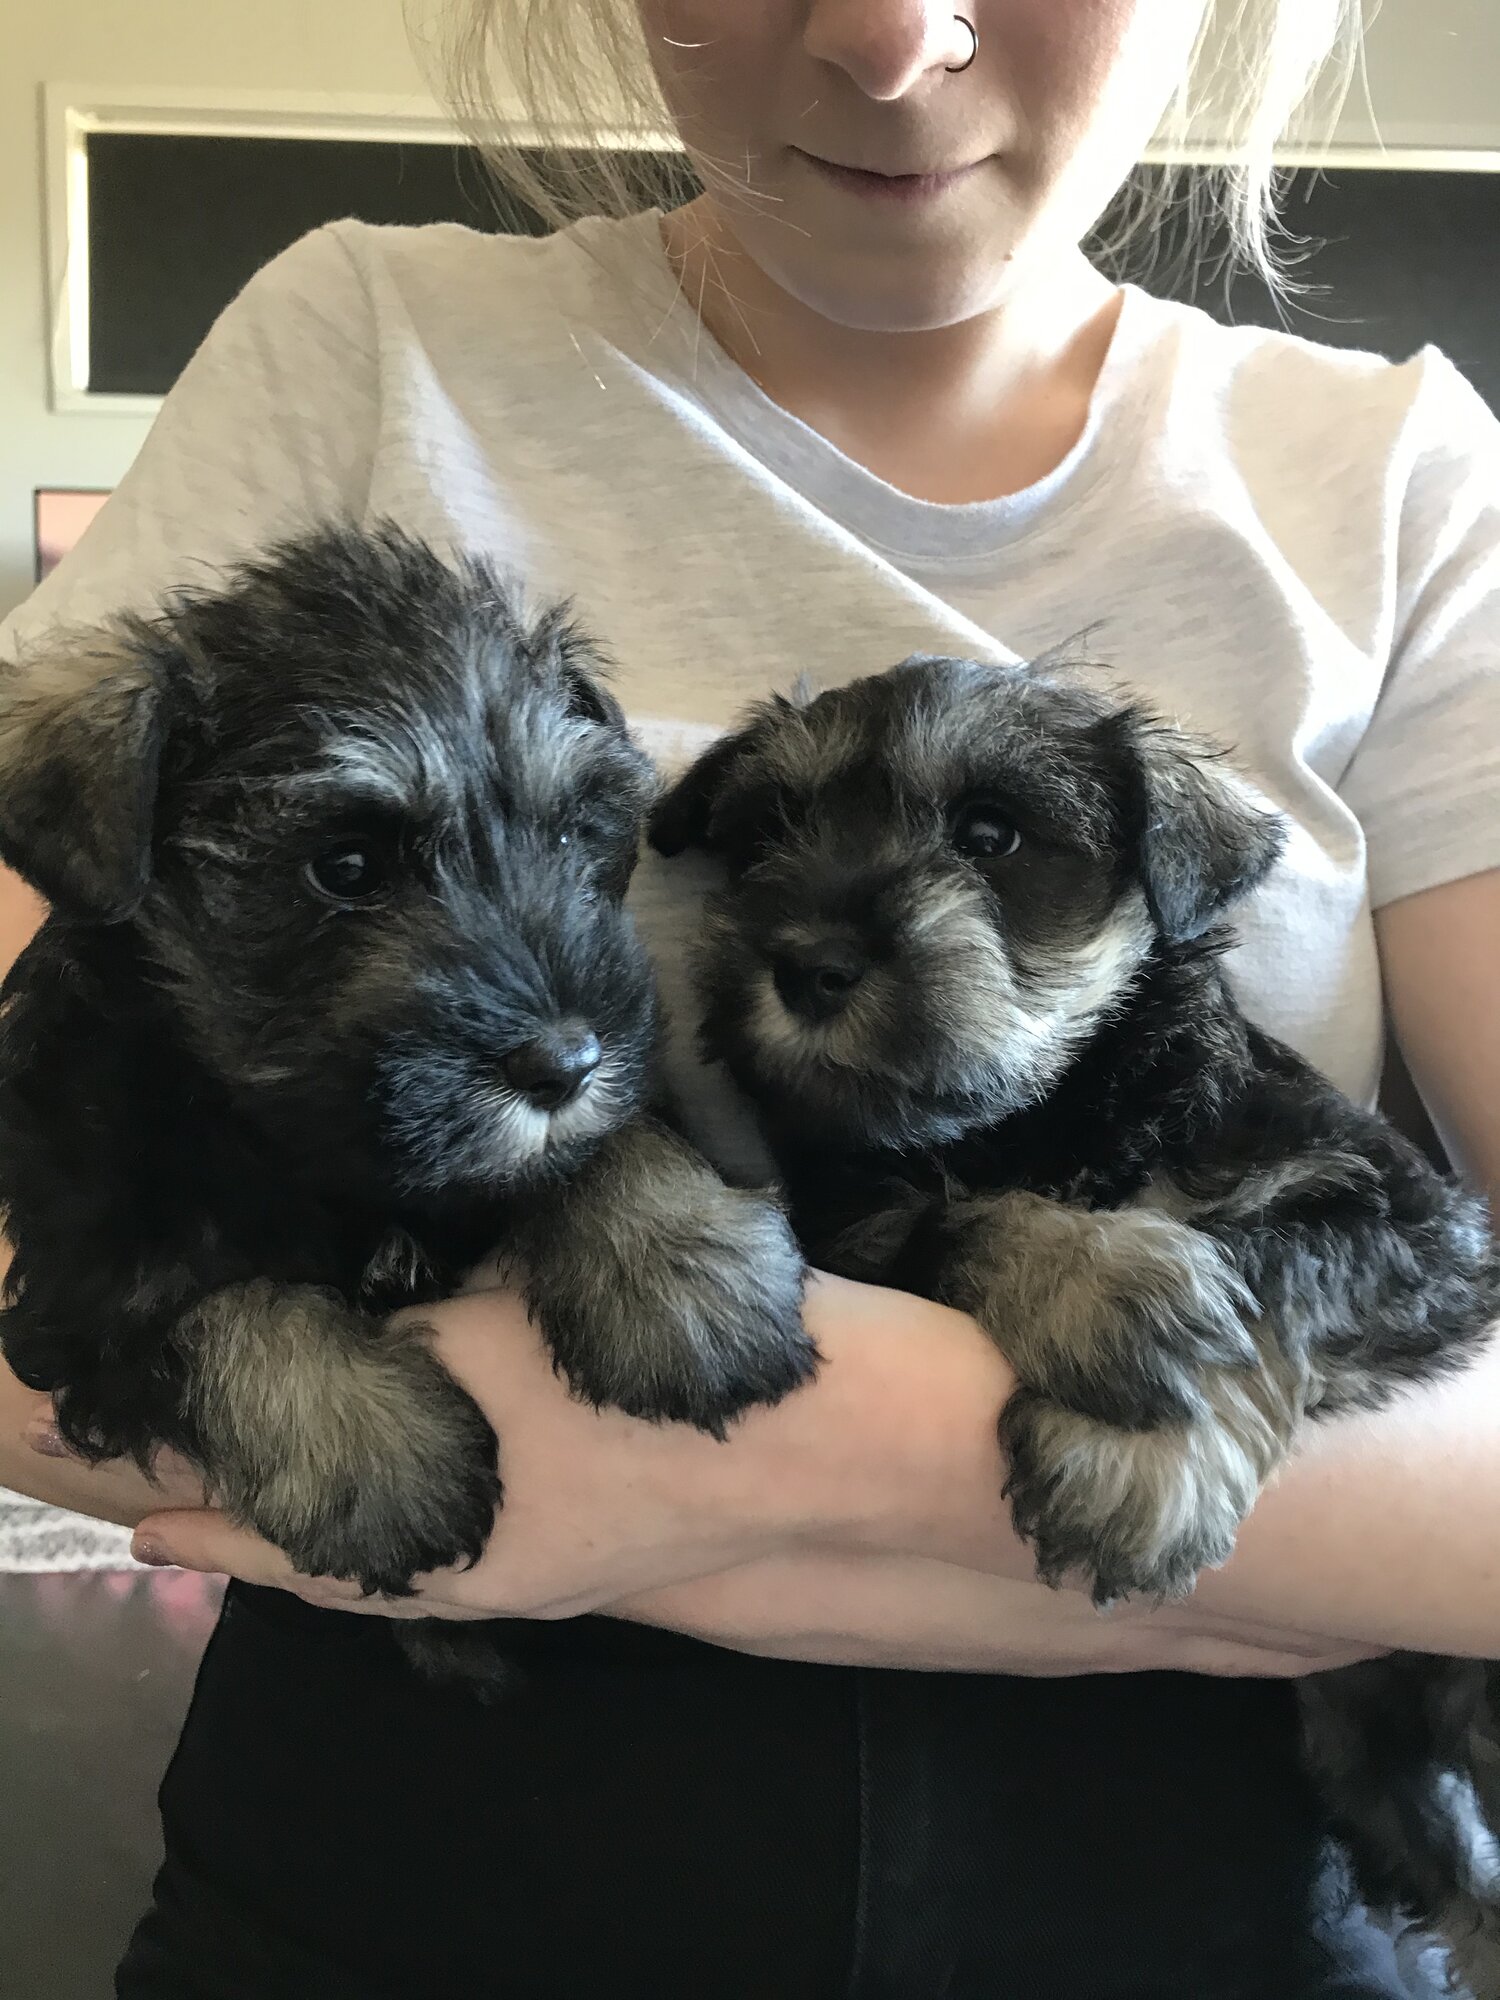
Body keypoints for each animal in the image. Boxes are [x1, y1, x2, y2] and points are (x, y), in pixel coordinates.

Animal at [0, 524, 812, 1616]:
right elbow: (220, 1305)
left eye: (570, 831)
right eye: (343, 867)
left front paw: (685, 1276)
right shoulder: (77, 1292)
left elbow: (612, 1140)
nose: (563, 1064)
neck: (306, 1142)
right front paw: (377, 1462)